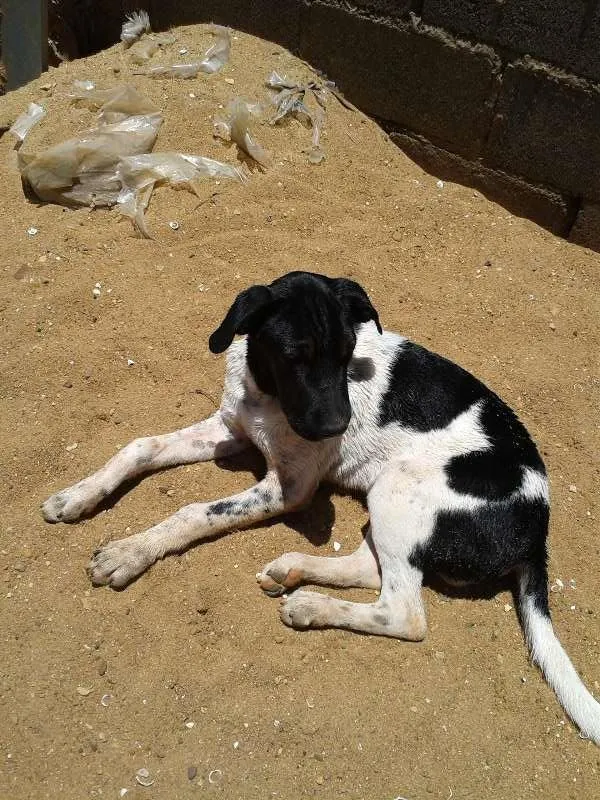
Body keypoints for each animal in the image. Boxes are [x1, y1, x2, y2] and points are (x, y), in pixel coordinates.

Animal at [44, 270, 600, 744]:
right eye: (296, 355)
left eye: (349, 353)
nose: (338, 426)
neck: (266, 394)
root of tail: (537, 532)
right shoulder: (230, 429)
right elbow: (140, 447)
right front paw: (78, 495)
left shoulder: (288, 488)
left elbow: (194, 511)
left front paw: (129, 552)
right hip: (390, 502)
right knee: (370, 570)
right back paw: (293, 571)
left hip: (398, 488)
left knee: (403, 613)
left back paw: (310, 605)